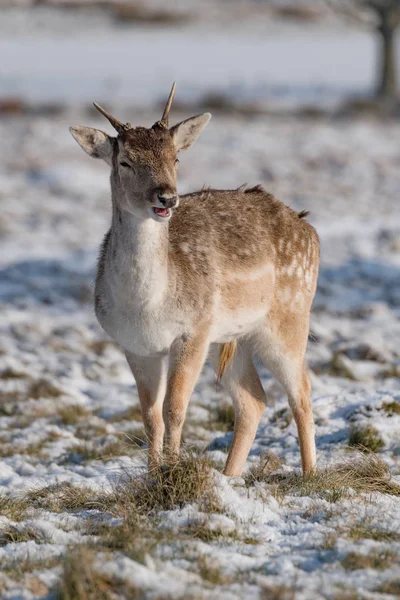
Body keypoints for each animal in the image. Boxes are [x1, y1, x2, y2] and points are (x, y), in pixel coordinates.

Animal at [69, 83, 318, 478]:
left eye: (176, 159)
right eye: (125, 162)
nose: (166, 197)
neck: (145, 306)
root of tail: (309, 229)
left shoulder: (193, 330)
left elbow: (174, 409)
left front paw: (171, 474)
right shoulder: (134, 345)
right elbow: (150, 416)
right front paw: (153, 476)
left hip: (290, 319)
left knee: (302, 392)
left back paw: (310, 476)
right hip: (231, 337)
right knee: (253, 399)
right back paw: (229, 477)